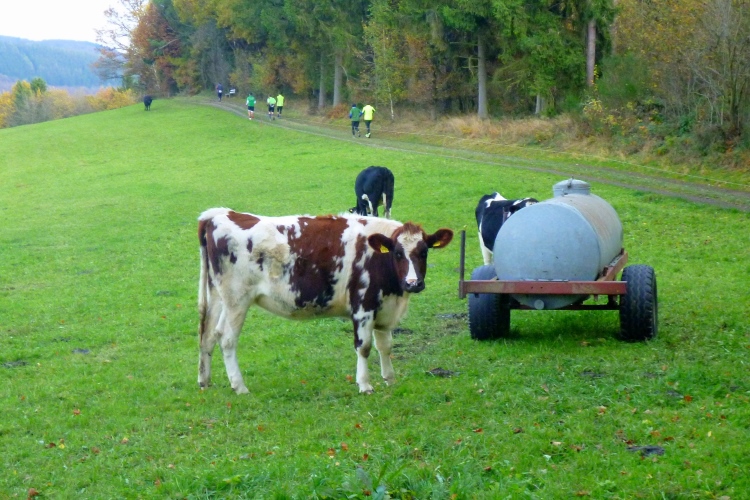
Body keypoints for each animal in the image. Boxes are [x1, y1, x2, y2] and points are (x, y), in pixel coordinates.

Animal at [197, 209, 453, 395]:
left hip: (219, 297)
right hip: (237, 299)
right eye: (398, 253)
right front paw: (365, 385)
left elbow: (385, 346)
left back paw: (205, 381)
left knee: (209, 335)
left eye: (424, 252)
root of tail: (221, 214)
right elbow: (364, 347)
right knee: (227, 340)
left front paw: (390, 379)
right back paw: (239, 386)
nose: (413, 283)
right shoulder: (363, 306)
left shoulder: (384, 308)